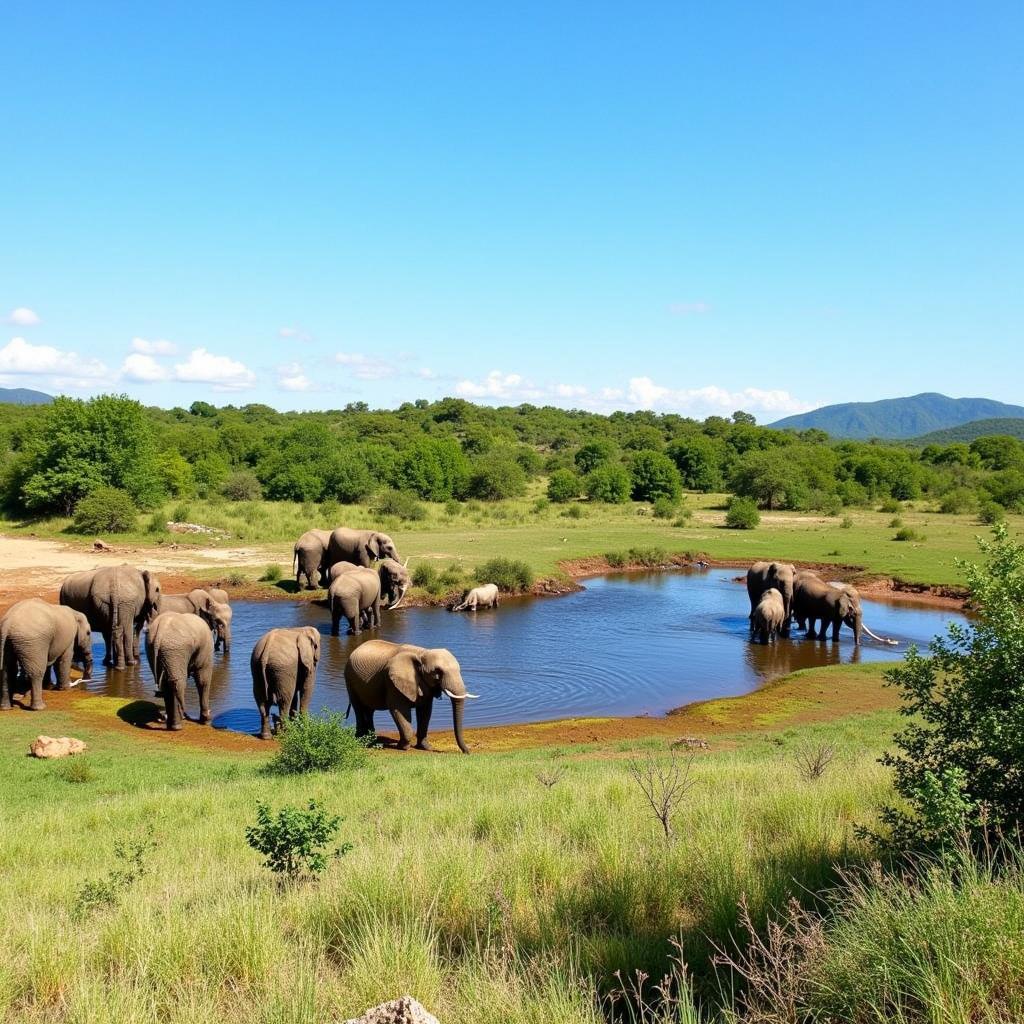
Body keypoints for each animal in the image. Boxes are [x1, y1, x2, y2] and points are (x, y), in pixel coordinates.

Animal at [344, 638, 479, 753]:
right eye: (437, 672)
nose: (467, 752)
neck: (422, 653)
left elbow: (425, 711)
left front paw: (425, 747)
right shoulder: (392, 682)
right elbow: (399, 709)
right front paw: (402, 747)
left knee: (369, 710)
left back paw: (371, 738)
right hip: (349, 679)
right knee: (358, 708)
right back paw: (362, 739)